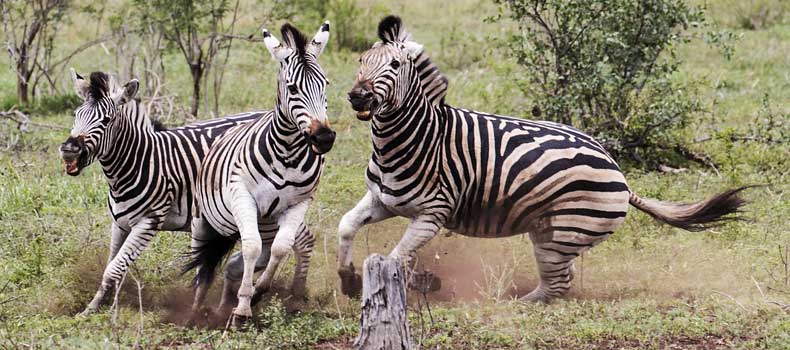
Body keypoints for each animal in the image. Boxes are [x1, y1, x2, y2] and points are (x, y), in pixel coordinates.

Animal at [62, 69, 260, 314]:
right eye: (76, 115)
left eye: (106, 120)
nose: (69, 151)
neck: (136, 164)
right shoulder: (119, 223)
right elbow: (113, 266)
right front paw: (94, 307)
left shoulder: (148, 223)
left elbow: (113, 268)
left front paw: (104, 311)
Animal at [184, 21, 336, 322]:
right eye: (292, 88)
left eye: (325, 84)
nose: (324, 138)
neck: (288, 153)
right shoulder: (243, 196)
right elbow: (250, 247)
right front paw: (243, 308)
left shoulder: (299, 203)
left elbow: (280, 248)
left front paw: (255, 295)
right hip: (203, 221)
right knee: (204, 267)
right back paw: (194, 312)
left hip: (262, 225)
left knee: (237, 263)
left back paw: (223, 307)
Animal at [336, 15, 748, 302]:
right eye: (361, 59)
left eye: (393, 66)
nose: (357, 96)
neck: (408, 142)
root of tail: (618, 172)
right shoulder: (383, 200)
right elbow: (346, 226)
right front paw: (348, 279)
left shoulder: (431, 214)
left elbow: (394, 258)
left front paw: (415, 281)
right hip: (550, 231)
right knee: (560, 282)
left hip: (563, 234)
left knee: (558, 286)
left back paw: (513, 303)